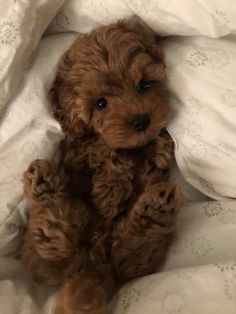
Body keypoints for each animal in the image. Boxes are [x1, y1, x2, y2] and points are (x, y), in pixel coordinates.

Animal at [21, 19, 182, 314]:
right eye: (100, 104)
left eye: (144, 85)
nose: (141, 121)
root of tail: (91, 263)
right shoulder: (79, 151)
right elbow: (102, 152)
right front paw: (111, 187)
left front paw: (157, 149)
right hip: (48, 251)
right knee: (56, 247)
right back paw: (45, 188)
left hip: (131, 259)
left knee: (131, 252)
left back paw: (157, 207)